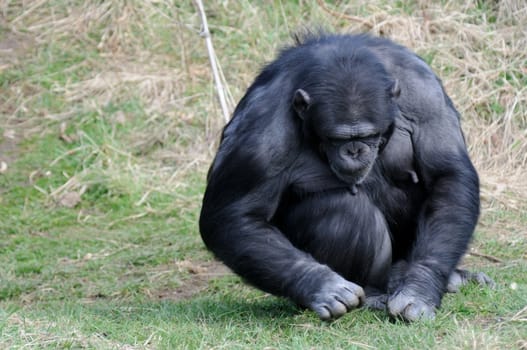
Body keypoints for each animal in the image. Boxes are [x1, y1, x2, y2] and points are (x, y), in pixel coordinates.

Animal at [200, 33, 492, 322]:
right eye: (337, 138)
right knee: (345, 210)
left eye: (369, 135)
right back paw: (371, 294)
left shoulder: (425, 93)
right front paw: (322, 286)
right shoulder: (261, 127)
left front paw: (419, 288)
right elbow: (235, 215)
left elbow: (447, 175)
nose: (354, 151)